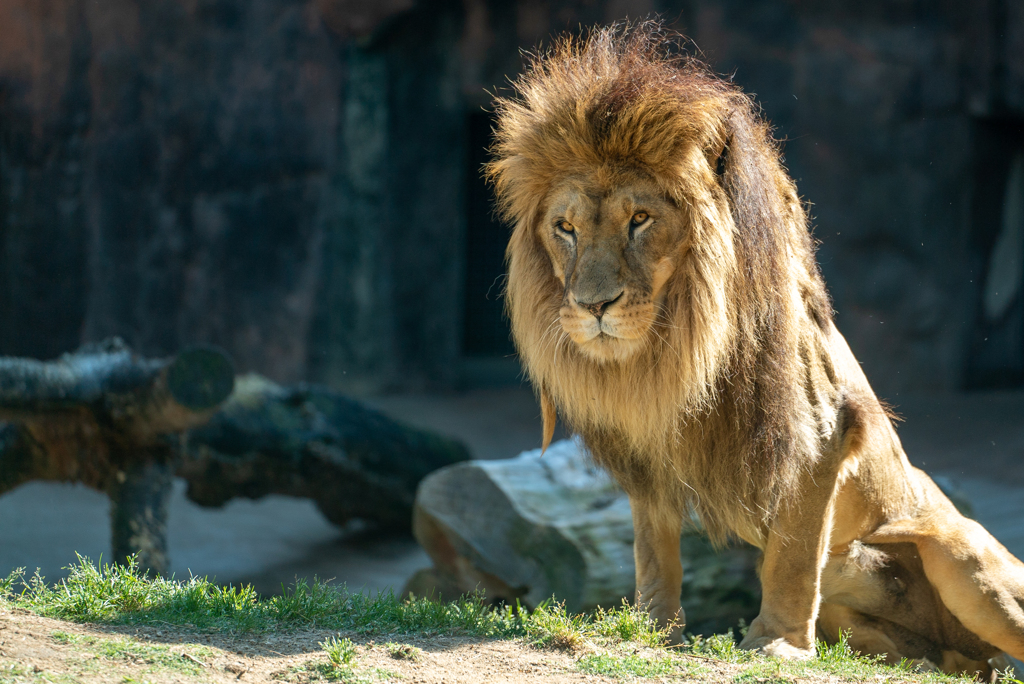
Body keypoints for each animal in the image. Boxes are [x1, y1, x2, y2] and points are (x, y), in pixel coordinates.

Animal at [485, 21, 1024, 679]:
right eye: (565, 228)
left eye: (640, 219)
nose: (593, 306)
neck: (672, 348)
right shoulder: (647, 450)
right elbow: (652, 549)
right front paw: (649, 631)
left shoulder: (816, 429)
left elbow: (790, 556)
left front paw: (777, 643)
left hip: (961, 554)